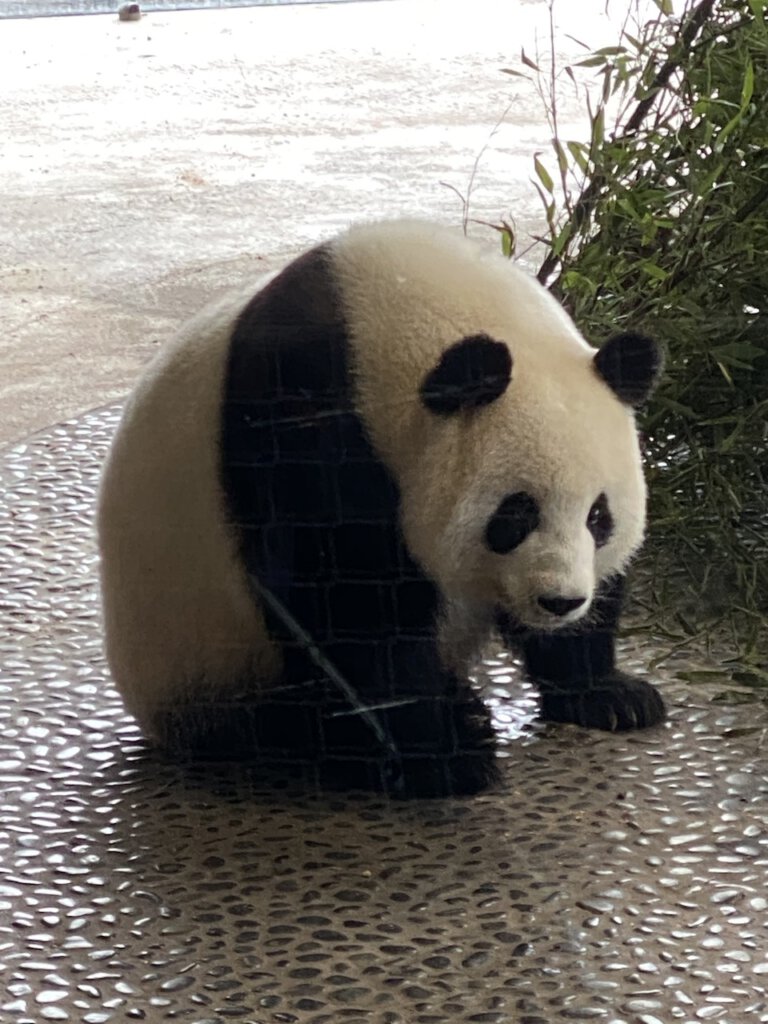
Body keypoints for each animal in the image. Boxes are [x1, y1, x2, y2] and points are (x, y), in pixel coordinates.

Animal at [97, 219, 665, 798]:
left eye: (599, 517)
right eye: (515, 515)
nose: (561, 602)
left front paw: (610, 695)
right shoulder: (301, 423)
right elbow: (348, 604)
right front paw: (448, 754)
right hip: (204, 660)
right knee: (288, 717)